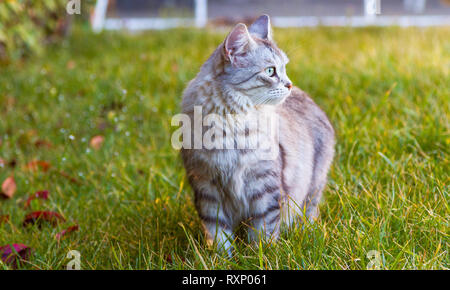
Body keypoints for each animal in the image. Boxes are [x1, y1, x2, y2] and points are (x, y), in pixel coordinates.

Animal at [179, 14, 334, 255]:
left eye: (284, 68)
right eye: (270, 71)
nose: (289, 85)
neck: (230, 124)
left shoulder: (263, 185)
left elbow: (264, 228)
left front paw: (262, 254)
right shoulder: (207, 186)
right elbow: (218, 232)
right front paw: (222, 258)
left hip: (313, 185)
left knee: (309, 212)